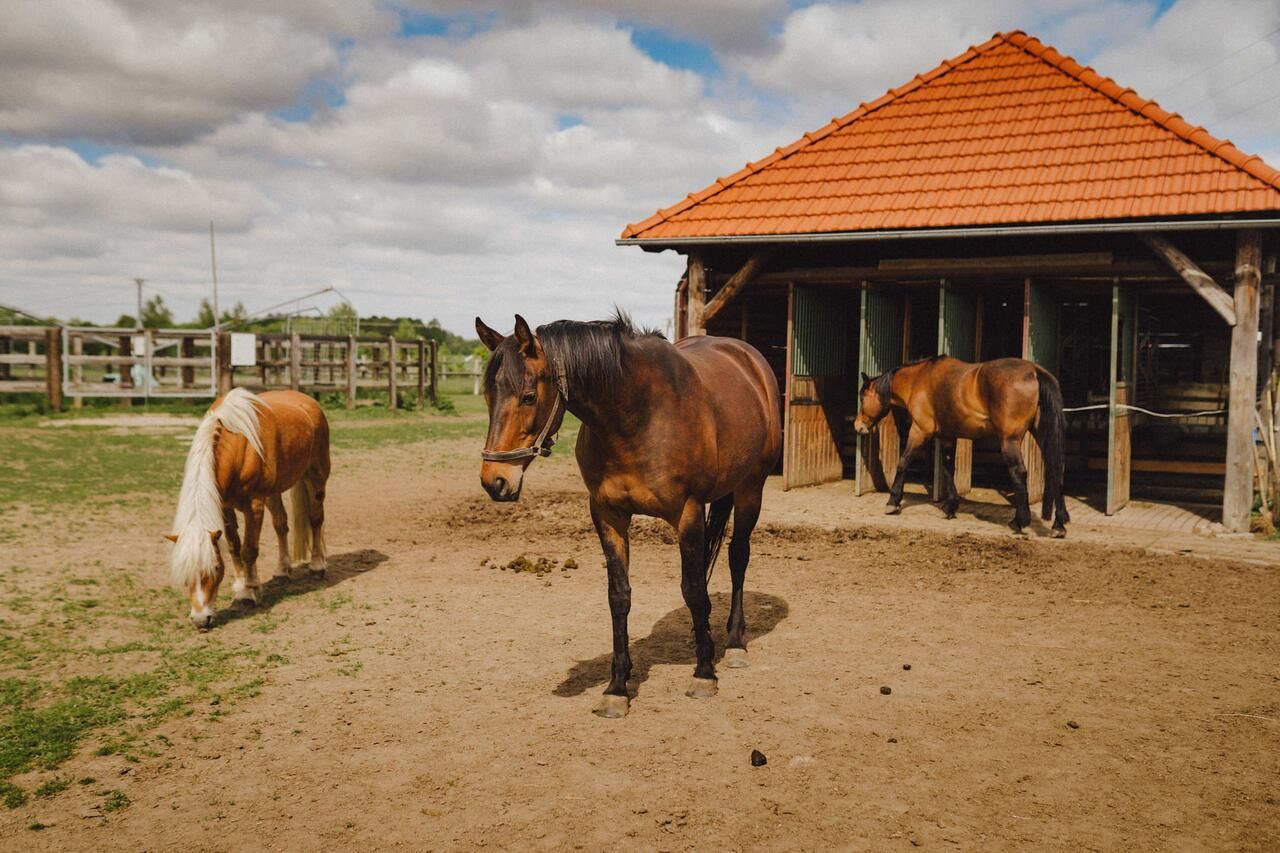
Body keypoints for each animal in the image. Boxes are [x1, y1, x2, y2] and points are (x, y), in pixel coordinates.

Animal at [165, 384, 332, 625]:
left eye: (215, 568)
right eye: (185, 574)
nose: (200, 620)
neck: (238, 445)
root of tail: (308, 401)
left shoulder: (254, 506)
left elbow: (249, 549)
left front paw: (249, 593)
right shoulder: (225, 507)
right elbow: (234, 547)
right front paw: (239, 587)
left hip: (316, 476)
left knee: (316, 519)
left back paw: (317, 566)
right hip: (274, 493)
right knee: (281, 525)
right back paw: (282, 571)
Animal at [478, 308, 778, 712]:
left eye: (528, 396)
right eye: (488, 396)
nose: (494, 481)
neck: (637, 416)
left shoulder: (688, 513)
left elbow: (694, 589)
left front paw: (703, 674)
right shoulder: (608, 515)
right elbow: (619, 596)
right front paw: (617, 687)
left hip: (751, 489)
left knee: (738, 557)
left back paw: (733, 644)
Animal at [855, 356, 1075, 535]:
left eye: (863, 397)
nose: (858, 426)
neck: (919, 380)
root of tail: (1034, 371)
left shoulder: (919, 432)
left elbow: (903, 463)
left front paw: (892, 502)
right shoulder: (947, 436)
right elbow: (948, 469)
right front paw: (950, 507)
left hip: (1010, 441)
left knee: (1019, 472)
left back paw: (1019, 522)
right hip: (1041, 435)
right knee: (1056, 470)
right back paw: (1058, 525)